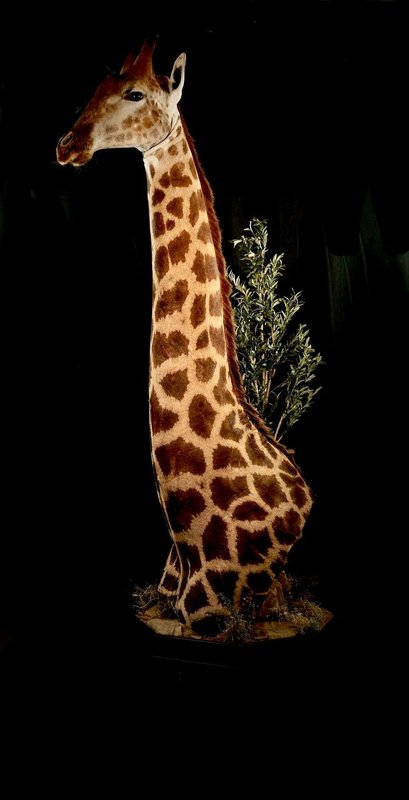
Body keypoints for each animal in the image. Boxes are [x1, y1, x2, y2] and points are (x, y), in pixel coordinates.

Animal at [57, 40, 313, 633]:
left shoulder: (209, 609)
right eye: (96, 86)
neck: (188, 541)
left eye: (134, 93)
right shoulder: (168, 592)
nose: (67, 145)